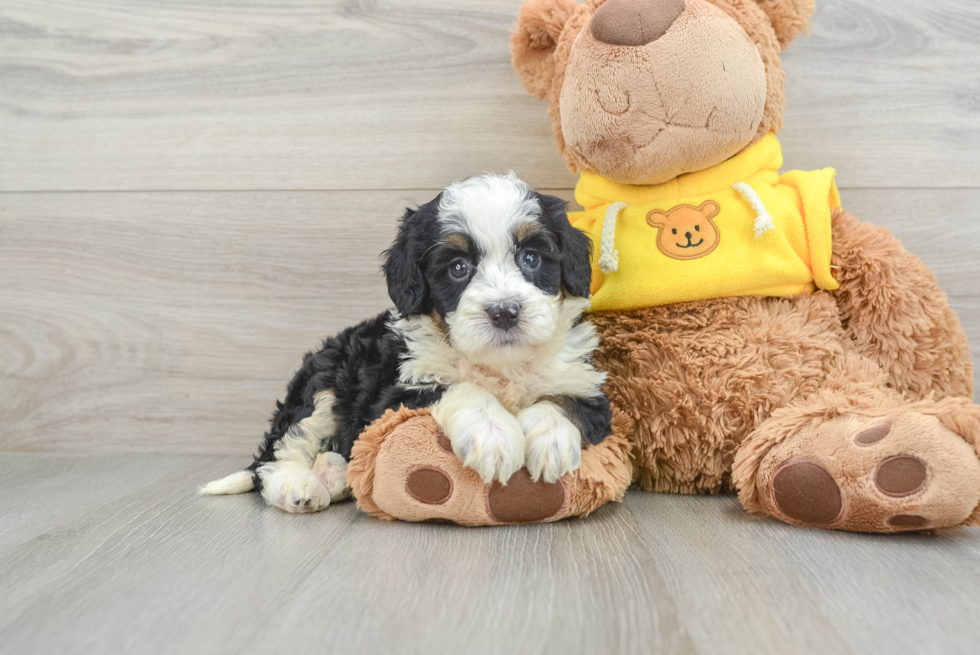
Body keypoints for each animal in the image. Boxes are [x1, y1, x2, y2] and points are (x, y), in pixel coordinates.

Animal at [204, 173, 608, 512]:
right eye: (458, 268)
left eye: (531, 257)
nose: (505, 311)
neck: (500, 365)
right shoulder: (392, 395)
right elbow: (459, 388)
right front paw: (493, 434)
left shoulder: (588, 387)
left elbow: (562, 400)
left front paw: (550, 439)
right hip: (322, 382)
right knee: (278, 453)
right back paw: (299, 486)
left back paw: (334, 474)